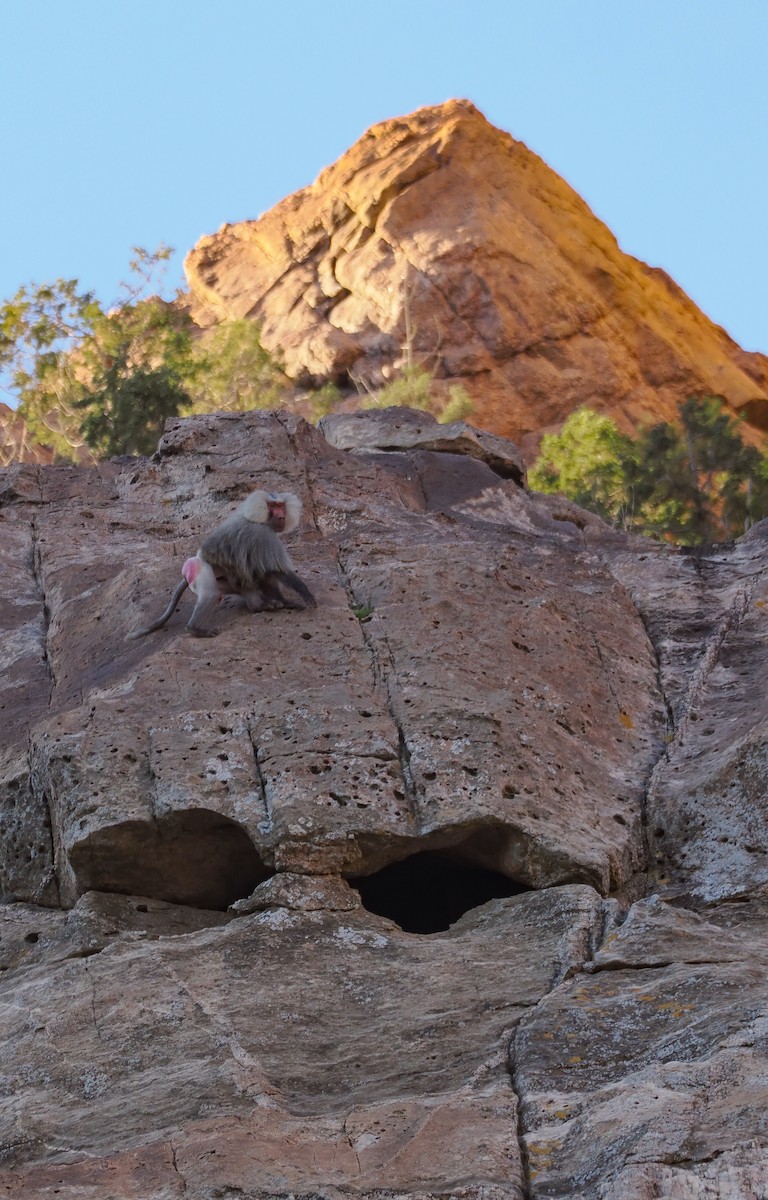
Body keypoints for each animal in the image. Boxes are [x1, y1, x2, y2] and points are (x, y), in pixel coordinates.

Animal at [127, 490, 316, 639]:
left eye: (281, 505)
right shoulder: (263, 536)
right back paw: (196, 630)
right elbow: (276, 570)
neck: (257, 519)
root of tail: (192, 563)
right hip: (200, 570)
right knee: (211, 594)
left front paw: (284, 602)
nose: (282, 516)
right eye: (273, 506)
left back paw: (259, 607)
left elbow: (265, 573)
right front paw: (304, 596)